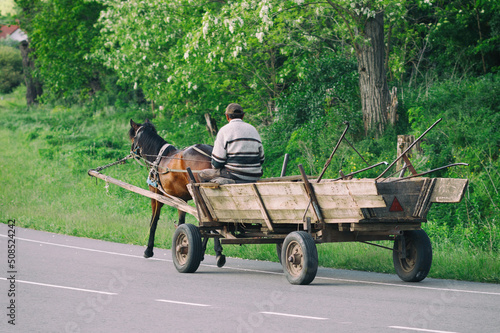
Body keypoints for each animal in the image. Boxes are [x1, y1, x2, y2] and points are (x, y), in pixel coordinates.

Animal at [128, 118, 226, 266]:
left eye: (133, 137)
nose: (132, 152)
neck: (158, 156)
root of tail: (210, 153)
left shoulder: (156, 196)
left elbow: (153, 222)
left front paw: (149, 250)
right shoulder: (182, 199)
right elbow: (181, 222)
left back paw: (217, 252)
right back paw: (206, 252)